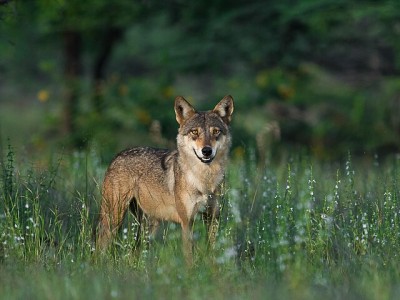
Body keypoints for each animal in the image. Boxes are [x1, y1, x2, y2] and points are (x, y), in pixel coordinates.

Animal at [97, 95, 234, 264]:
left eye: (216, 132)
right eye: (194, 132)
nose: (207, 151)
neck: (205, 181)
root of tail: (117, 156)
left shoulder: (212, 218)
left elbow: (212, 251)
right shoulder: (187, 222)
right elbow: (189, 256)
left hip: (148, 227)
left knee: (135, 251)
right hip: (113, 219)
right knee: (100, 245)